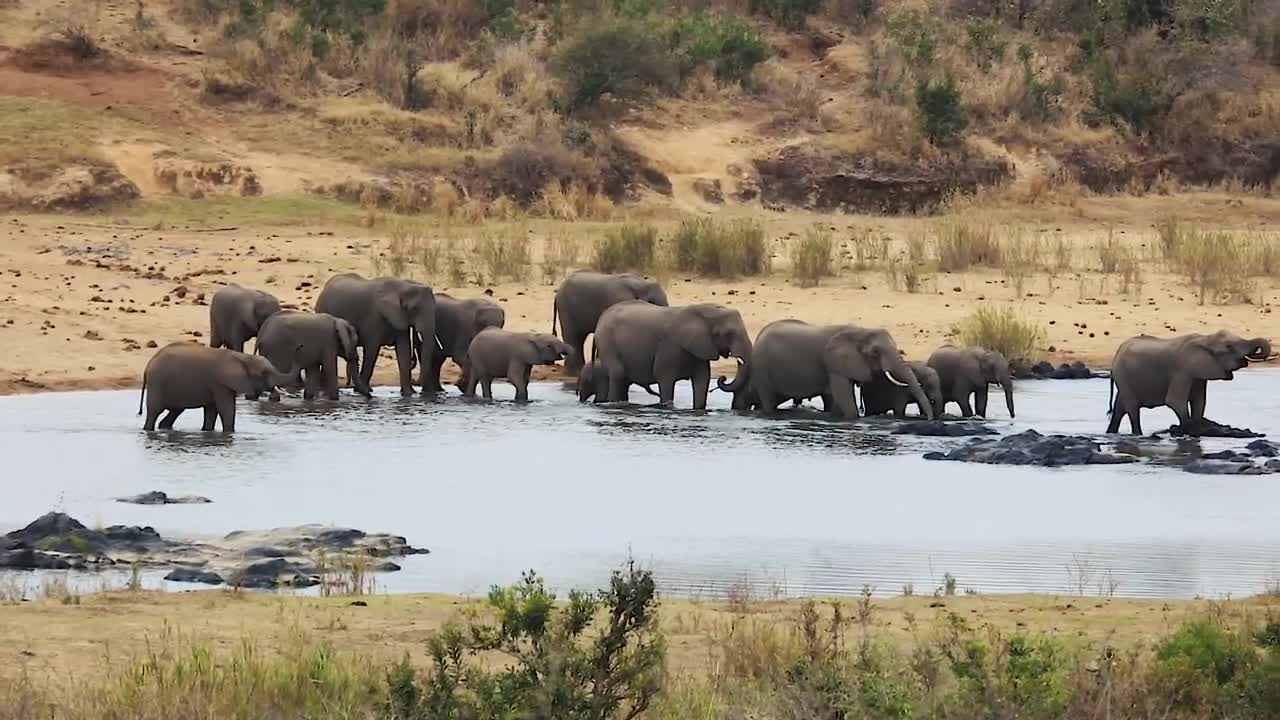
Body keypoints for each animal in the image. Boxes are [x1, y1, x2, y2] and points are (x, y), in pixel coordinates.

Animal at [593, 298, 752, 409]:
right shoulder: (669, 345)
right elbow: (664, 377)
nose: (723, 378)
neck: (703, 310)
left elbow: (702, 379)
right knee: (618, 374)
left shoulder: (699, 347)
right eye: (729, 333)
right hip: (607, 341)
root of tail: (602, 317)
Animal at [716, 316, 936, 417]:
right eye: (875, 352)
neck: (860, 331)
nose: (929, 419)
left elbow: (834, 398)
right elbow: (844, 398)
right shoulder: (835, 365)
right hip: (763, 366)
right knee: (767, 398)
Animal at [1105, 330, 1274, 430]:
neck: (1205, 339)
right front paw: (1189, 430)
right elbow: (1174, 401)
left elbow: (1200, 402)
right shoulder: (1181, 370)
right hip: (1123, 375)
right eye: (1229, 347)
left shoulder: (1198, 374)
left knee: (1119, 409)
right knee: (1132, 410)